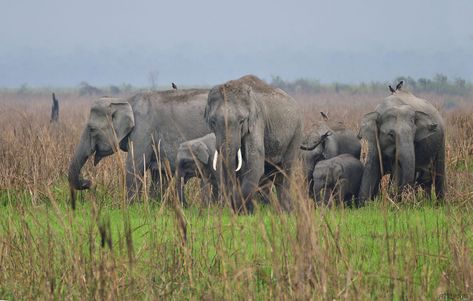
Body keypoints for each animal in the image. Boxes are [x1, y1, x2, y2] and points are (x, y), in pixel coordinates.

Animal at [204, 74, 302, 212]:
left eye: (241, 121)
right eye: (212, 121)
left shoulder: (257, 120)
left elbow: (255, 160)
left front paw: (239, 207)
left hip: (296, 133)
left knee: (286, 170)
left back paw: (286, 211)